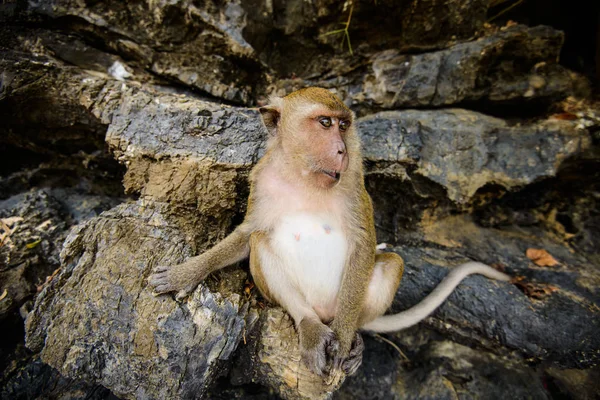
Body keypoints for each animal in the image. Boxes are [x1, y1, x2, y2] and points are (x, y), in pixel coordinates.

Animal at [150, 86, 510, 378]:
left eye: (344, 125)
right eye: (325, 123)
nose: (341, 150)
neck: (302, 176)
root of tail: (325, 315)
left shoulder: (353, 182)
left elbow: (364, 245)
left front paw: (347, 339)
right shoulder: (261, 181)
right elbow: (247, 234)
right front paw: (187, 273)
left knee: (390, 264)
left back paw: (354, 338)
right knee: (260, 243)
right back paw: (310, 327)